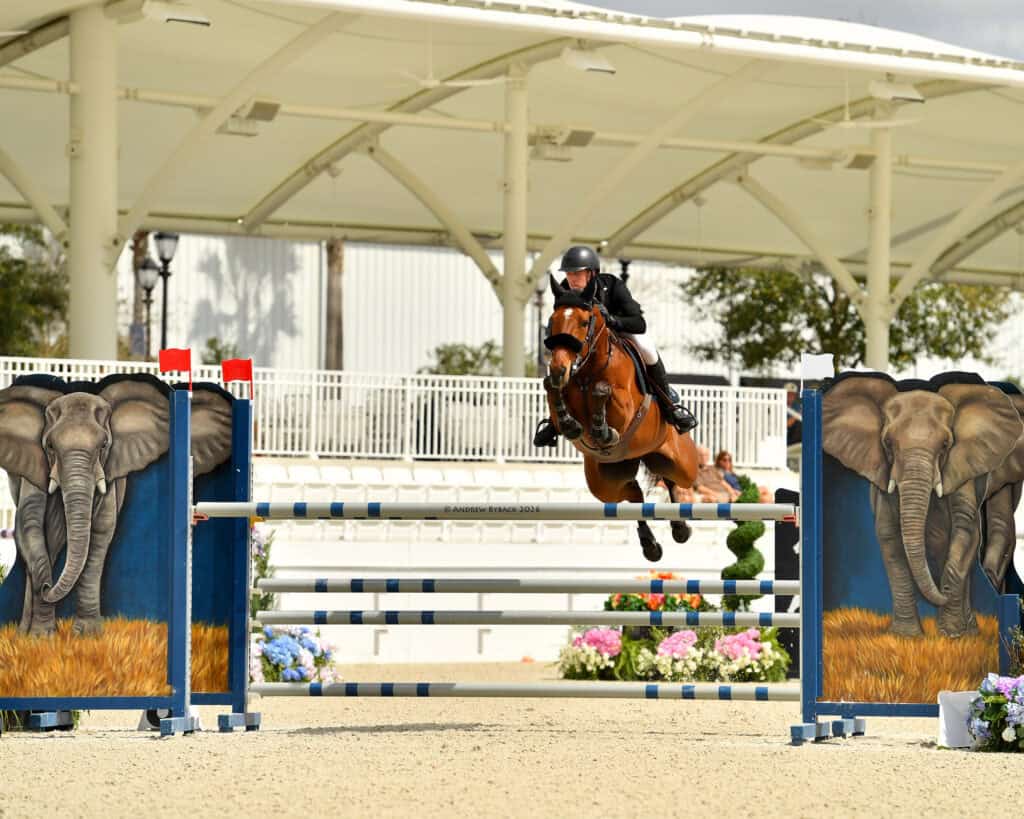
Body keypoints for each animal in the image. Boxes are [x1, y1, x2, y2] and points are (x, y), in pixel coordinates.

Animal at [0, 374, 232, 637]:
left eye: (103, 446)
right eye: (49, 447)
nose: (47, 586)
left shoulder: (110, 470)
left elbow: (101, 529)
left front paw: (87, 635)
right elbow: (29, 524)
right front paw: (42, 637)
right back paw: (24, 633)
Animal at [822, 373, 1023, 638]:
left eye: (946, 444)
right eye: (887, 443)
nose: (942, 593)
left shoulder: (962, 466)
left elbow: (965, 527)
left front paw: (951, 636)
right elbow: (889, 533)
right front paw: (906, 636)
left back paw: (967, 631)